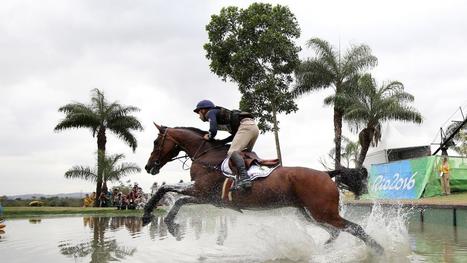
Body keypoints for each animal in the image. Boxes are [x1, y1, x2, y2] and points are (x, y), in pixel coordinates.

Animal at [143, 125, 384, 255]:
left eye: (155, 142)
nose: (148, 167)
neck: (206, 156)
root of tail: (326, 174)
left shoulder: (201, 190)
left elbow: (166, 190)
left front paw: (149, 215)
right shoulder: (207, 197)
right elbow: (178, 200)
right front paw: (170, 224)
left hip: (324, 212)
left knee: (355, 228)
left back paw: (379, 250)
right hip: (308, 214)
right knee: (335, 232)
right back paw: (320, 249)